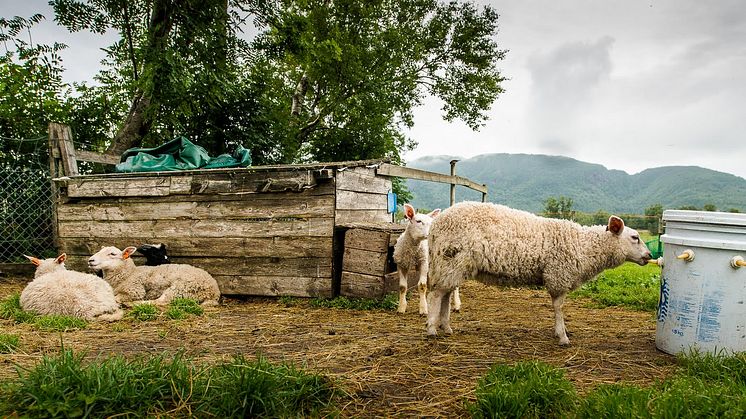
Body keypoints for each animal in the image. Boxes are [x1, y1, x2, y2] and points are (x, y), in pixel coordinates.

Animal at [88, 244, 221, 306]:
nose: (90, 260)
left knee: (160, 301)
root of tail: (214, 292)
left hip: (180, 288)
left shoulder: (134, 291)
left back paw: (133, 304)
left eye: (112, 254)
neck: (128, 274)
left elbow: (117, 298)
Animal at [424, 202, 652, 346]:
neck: (585, 246)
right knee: (435, 295)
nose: (649, 256)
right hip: (451, 260)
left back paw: (446, 326)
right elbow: (559, 307)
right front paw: (562, 336)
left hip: (452, 266)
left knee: (445, 294)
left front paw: (559, 332)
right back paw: (432, 329)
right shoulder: (558, 275)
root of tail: (436, 225)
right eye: (635, 237)